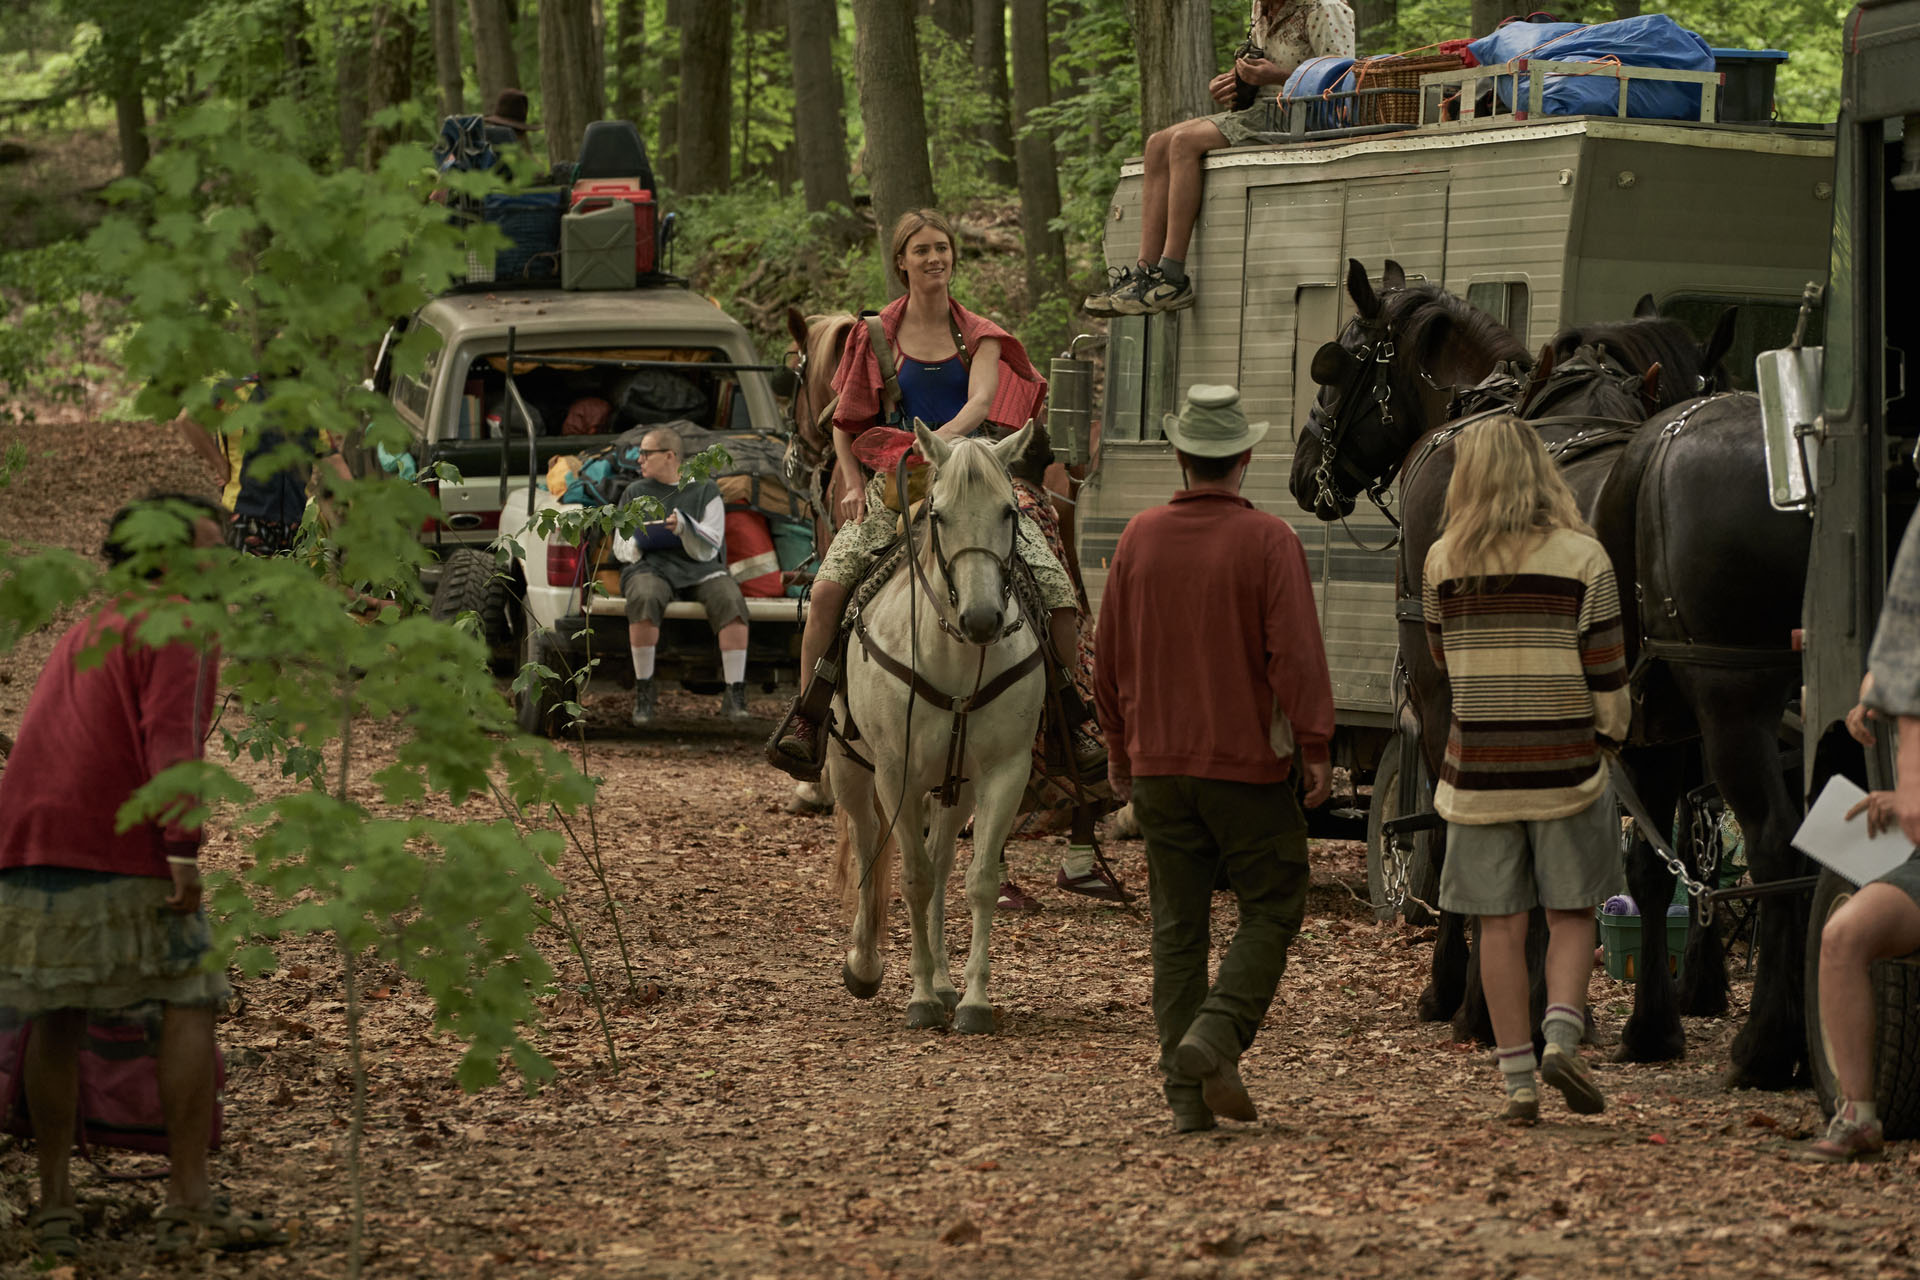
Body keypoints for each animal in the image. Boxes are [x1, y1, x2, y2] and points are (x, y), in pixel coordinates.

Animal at [829, 420, 1044, 1028]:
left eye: (1008, 512)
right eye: (940, 514)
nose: (981, 619)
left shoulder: (1003, 774)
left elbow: (978, 880)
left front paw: (971, 999)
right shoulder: (895, 773)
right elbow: (914, 877)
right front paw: (920, 996)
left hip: (956, 788)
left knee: (945, 862)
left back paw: (948, 983)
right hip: (849, 768)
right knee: (869, 842)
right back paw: (866, 964)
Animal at [1297, 262, 1804, 1090]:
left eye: (1337, 362)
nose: (1303, 470)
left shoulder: (1445, 696)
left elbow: (1456, 834)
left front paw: (1463, 996)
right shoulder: (1641, 728)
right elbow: (1634, 861)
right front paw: (1615, 1020)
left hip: (1734, 708)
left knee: (1775, 843)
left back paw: (1767, 1045)